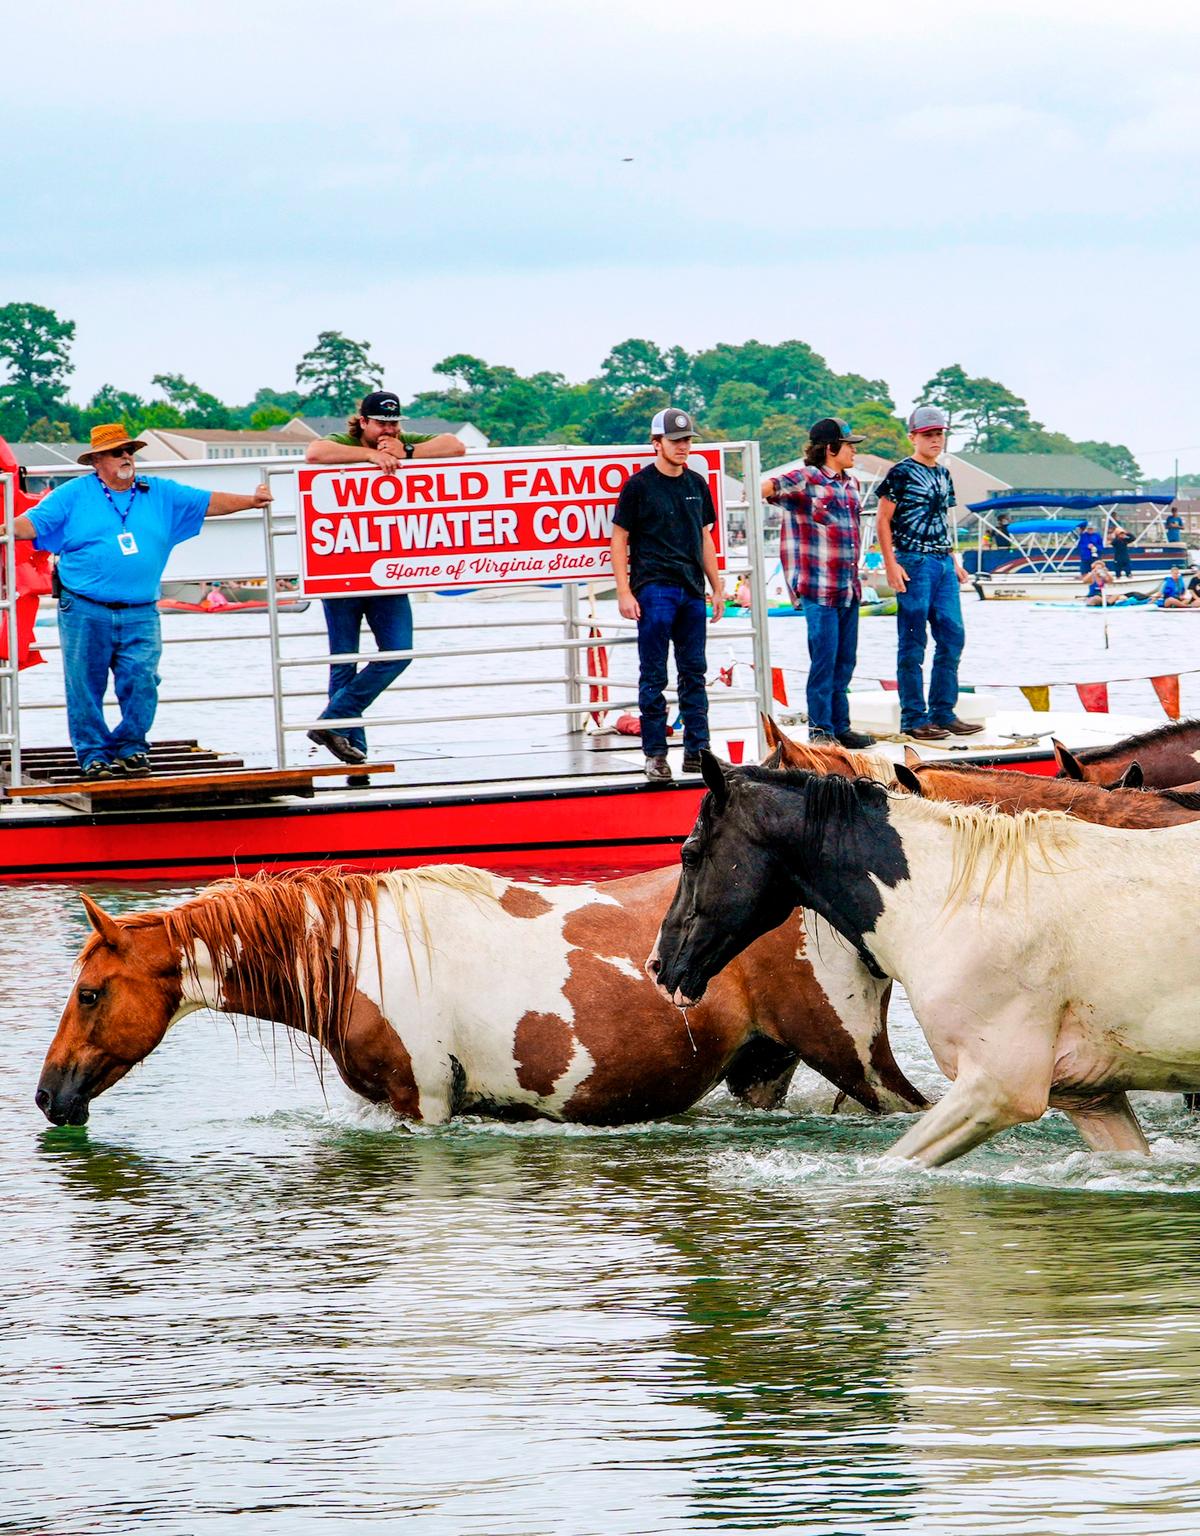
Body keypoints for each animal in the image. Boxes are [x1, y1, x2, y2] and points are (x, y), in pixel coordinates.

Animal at [35, 864, 925, 1131]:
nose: (47, 1096)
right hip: (761, 1069)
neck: (356, 951)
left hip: (859, 1062)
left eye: (89, 994)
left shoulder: (423, 1107)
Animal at [651, 754, 1200, 1167]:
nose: (661, 965)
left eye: (690, 854)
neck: (960, 898)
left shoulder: (997, 1090)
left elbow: (892, 1164)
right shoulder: (1094, 1101)